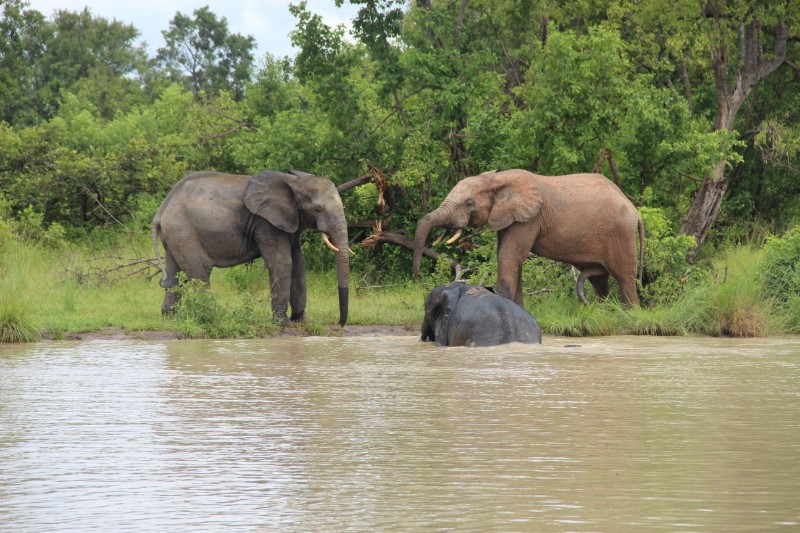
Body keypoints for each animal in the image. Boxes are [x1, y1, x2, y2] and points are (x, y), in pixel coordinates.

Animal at [152, 168, 348, 324]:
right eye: (318, 209)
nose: (340, 323)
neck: (293, 181)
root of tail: (161, 210)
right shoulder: (266, 223)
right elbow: (283, 262)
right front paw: (283, 323)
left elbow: (299, 263)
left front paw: (301, 320)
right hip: (184, 233)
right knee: (200, 272)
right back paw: (214, 316)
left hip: (176, 236)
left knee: (175, 273)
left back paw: (169, 317)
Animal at [412, 168, 644, 306]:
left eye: (469, 203)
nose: (418, 277)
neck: (497, 179)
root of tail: (636, 212)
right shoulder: (509, 218)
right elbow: (514, 260)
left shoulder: (528, 218)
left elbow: (509, 257)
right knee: (599, 279)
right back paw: (603, 309)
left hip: (621, 234)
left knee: (625, 277)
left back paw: (629, 313)